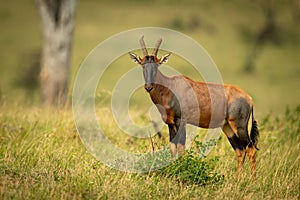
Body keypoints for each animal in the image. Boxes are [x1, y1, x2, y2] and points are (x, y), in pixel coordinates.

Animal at [127, 36, 258, 177]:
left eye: (157, 65)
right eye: (142, 64)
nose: (148, 87)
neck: (170, 87)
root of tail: (249, 98)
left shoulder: (181, 121)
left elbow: (181, 148)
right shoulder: (170, 124)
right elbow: (173, 148)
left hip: (240, 126)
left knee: (251, 149)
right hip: (227, 127)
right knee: (240, 150)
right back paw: (238, 178)